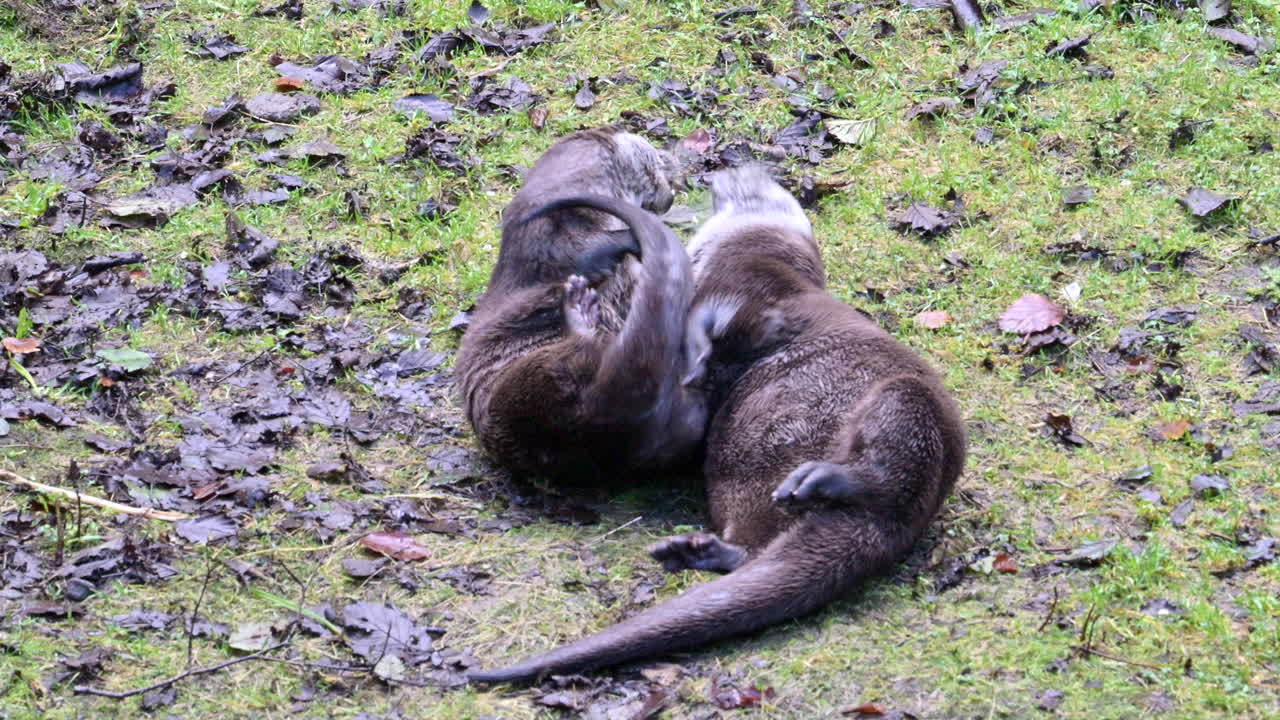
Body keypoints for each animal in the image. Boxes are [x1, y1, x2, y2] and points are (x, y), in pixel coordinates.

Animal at [455, 128, 707, 482]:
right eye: (655, 154)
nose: (672, 160)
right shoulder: (546, 236)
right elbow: (583, 251)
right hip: (523, 389)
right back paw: (580, 311)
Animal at [468, 166, 966, 684]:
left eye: (763, 183)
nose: (734, 166)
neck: (745, 248)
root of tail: (895, 527)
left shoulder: (758, 291)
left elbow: (737, 323)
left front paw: (698, 352)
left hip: (911, 405)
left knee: (891, 462)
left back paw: (822, 478)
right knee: (751, 549)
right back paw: (697, 551)